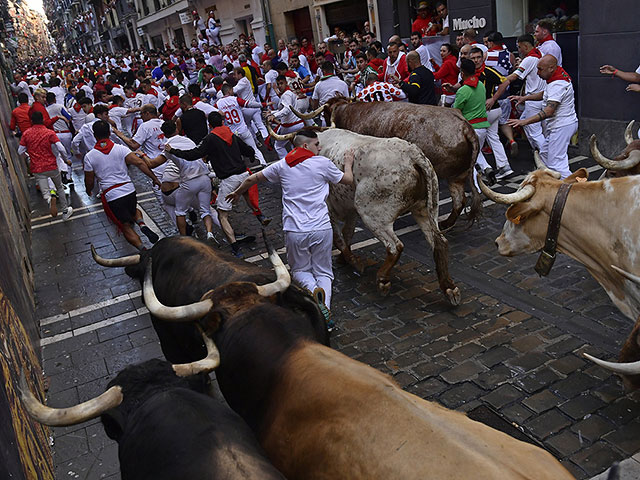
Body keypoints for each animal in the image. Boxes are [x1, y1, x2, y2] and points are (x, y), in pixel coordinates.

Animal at [294, 97, 480, 229]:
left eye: (326, 113)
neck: (349, 112)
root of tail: (464, 126)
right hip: (457, 176)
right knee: (459, 201)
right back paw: (447, 223)